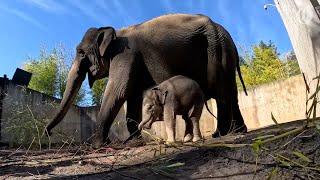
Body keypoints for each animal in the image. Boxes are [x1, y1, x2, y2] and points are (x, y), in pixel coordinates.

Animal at [43, 13, 248, 147]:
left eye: (80, 52)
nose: (48, 132)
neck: (116, 32)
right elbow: (132, 97)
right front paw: (135, 140)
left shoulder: (125, 55)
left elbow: (117, 92)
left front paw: (99, 145)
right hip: (225, 53)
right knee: (231, 94)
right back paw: (239, 131)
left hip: (216, 51)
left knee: (221, 94)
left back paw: (219, 134)